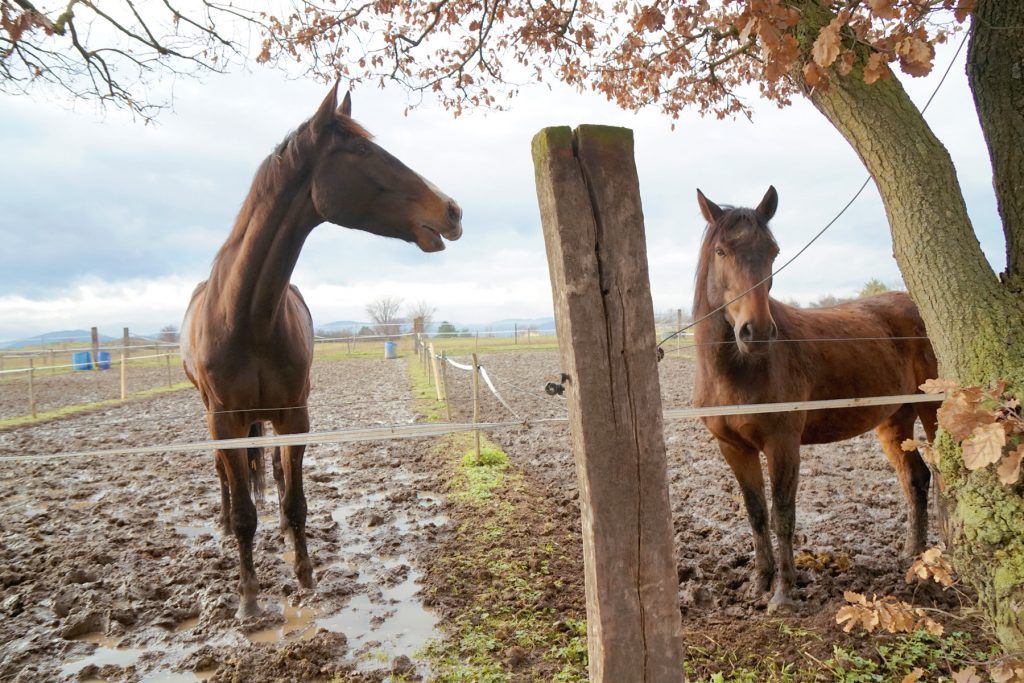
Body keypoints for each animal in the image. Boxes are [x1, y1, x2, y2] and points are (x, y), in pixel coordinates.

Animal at [180, 84, 463, 618]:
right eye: (363, 151)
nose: (452, 210)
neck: (248, 316)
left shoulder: (296, 415)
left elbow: (295, 501)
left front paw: (304, 573)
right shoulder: (224, 421)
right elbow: (245, 511)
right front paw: (248, 599)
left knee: (272, 471)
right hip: (215, 417)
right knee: (227, 478)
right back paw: (224, 523)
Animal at [691, 186, 937, 612]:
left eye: (773, 251)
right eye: (721, 251)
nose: (756, 331)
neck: (737, 370)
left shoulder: (783, 443)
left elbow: (782, 514)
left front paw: (784, 593)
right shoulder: (733, 448)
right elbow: (756, 513)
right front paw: (759, 583)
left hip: (933, 410)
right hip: (895, 419)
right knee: (916, 478)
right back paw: (913, 554)